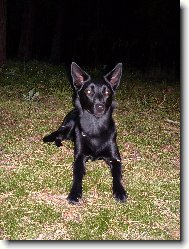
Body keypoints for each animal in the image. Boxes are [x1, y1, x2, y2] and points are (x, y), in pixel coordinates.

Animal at [43, 61, 127, 202]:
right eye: (88, 91)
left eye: (107, 92)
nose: (100, 107)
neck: (95, 127)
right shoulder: (79, 158)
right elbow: (77, 176)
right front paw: (75, 193)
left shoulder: (115, 159)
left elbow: (117, 176)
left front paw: (120, 191)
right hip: (69, 128)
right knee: (58, 135)